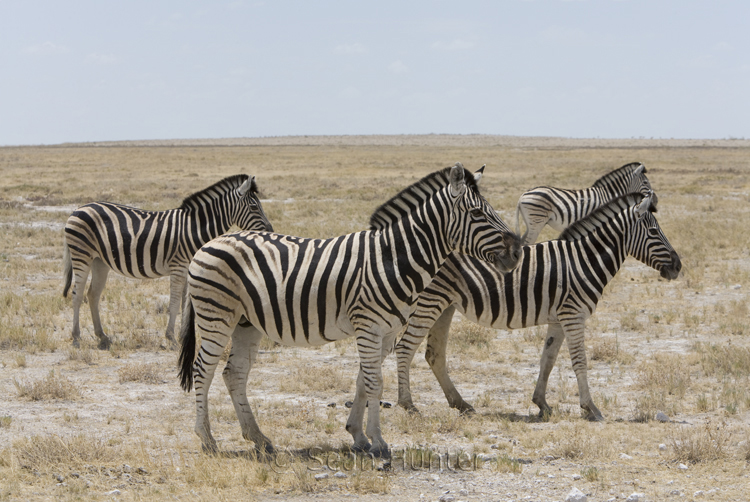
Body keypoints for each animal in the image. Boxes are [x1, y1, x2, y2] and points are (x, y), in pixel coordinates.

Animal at [62, 174, 273, 349]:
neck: (194, 228)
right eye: (254, 207)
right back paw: (76, 338)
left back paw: (102, 336)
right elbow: (174, 301)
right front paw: (171, 337)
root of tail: (78, 208)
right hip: (82, 254)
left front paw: (185, 335)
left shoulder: (189, 268)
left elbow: (186, 304)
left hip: (100, 261)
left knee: (92, 295)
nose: (270, 230)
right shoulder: (178, 266)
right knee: (77, 294)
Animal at [178, 163, 523, 458]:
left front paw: (358, 435)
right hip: (216, 315)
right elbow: (375, 383)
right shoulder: (368, 325)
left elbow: (362, 379)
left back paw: (259, 439)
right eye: (477, 213)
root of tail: (209, 243)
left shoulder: (387, 330)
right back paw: (207, 440)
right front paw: (379, 442)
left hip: (246, 323)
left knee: (233, 373)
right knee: (203, 370)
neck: (392, 258)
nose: (518, 252)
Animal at [395, 191, 681, 421]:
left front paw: (541, 403)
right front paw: (590, 408)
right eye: (653, 232)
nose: (678, 266)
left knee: (434, 354)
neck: (584, 261)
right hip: (429, 302)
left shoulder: (558, 319)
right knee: (405, 347)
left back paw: (460, 403)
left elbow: (548, 360)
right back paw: (407, 405)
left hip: (445, 305)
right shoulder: (573, 315)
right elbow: (580, 361)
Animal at [516, 162, 657, 245]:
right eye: (645, 183)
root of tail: (523, 195)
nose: (655, 200)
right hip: (536, 221)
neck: (608, 194)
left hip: (530, 223)